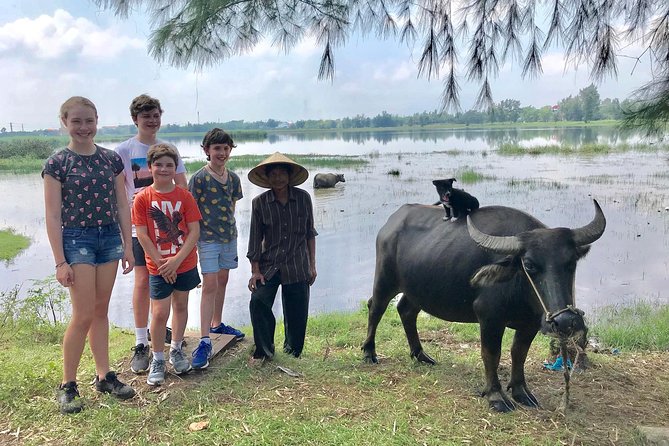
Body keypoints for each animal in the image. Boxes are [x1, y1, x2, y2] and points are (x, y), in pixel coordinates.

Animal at [366, 201, 604, 412]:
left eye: (571, 262)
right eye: (529, 265)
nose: (565, 321)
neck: (519, 289)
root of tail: (390, 223)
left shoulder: (530, 324)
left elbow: (519, 353)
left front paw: (521, 391)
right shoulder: (490, 318)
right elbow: (491, 354)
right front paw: (496, 396)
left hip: (416, 290)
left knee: (406, 310)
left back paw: (420, 354)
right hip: (385, 280)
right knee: (375, 308)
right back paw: (369, 353)